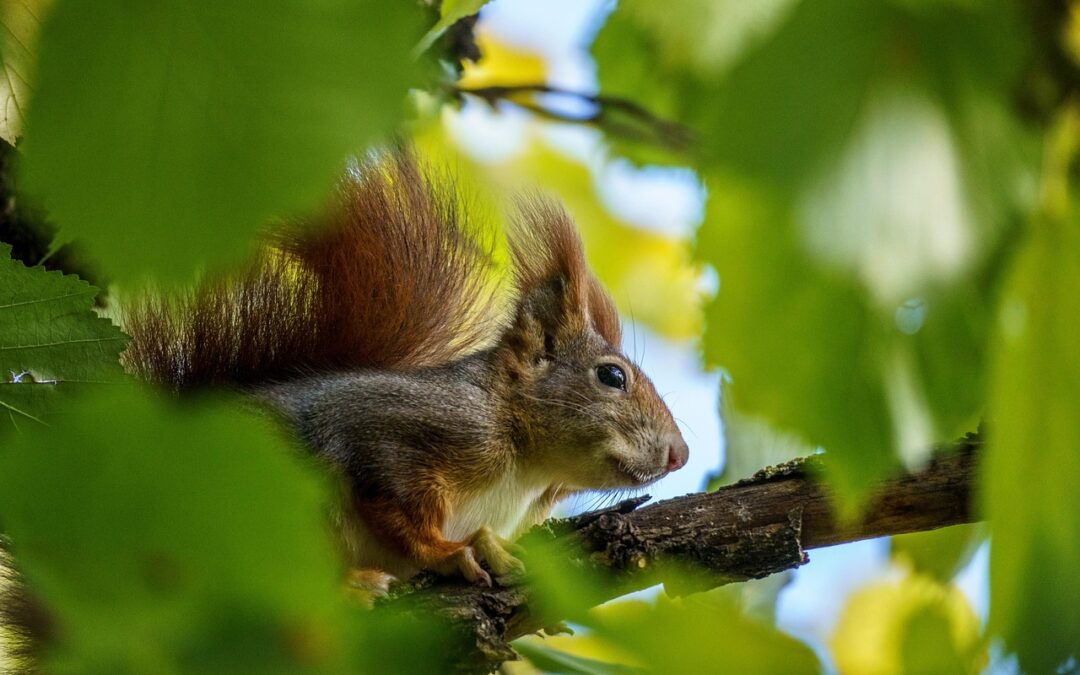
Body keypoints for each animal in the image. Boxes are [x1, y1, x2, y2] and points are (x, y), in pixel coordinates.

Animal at [120, 149, 691, 587]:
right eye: (612, 376)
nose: (680, 455)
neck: (525, 470)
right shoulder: (392, 437)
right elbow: (395, 508)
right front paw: (457, 551)